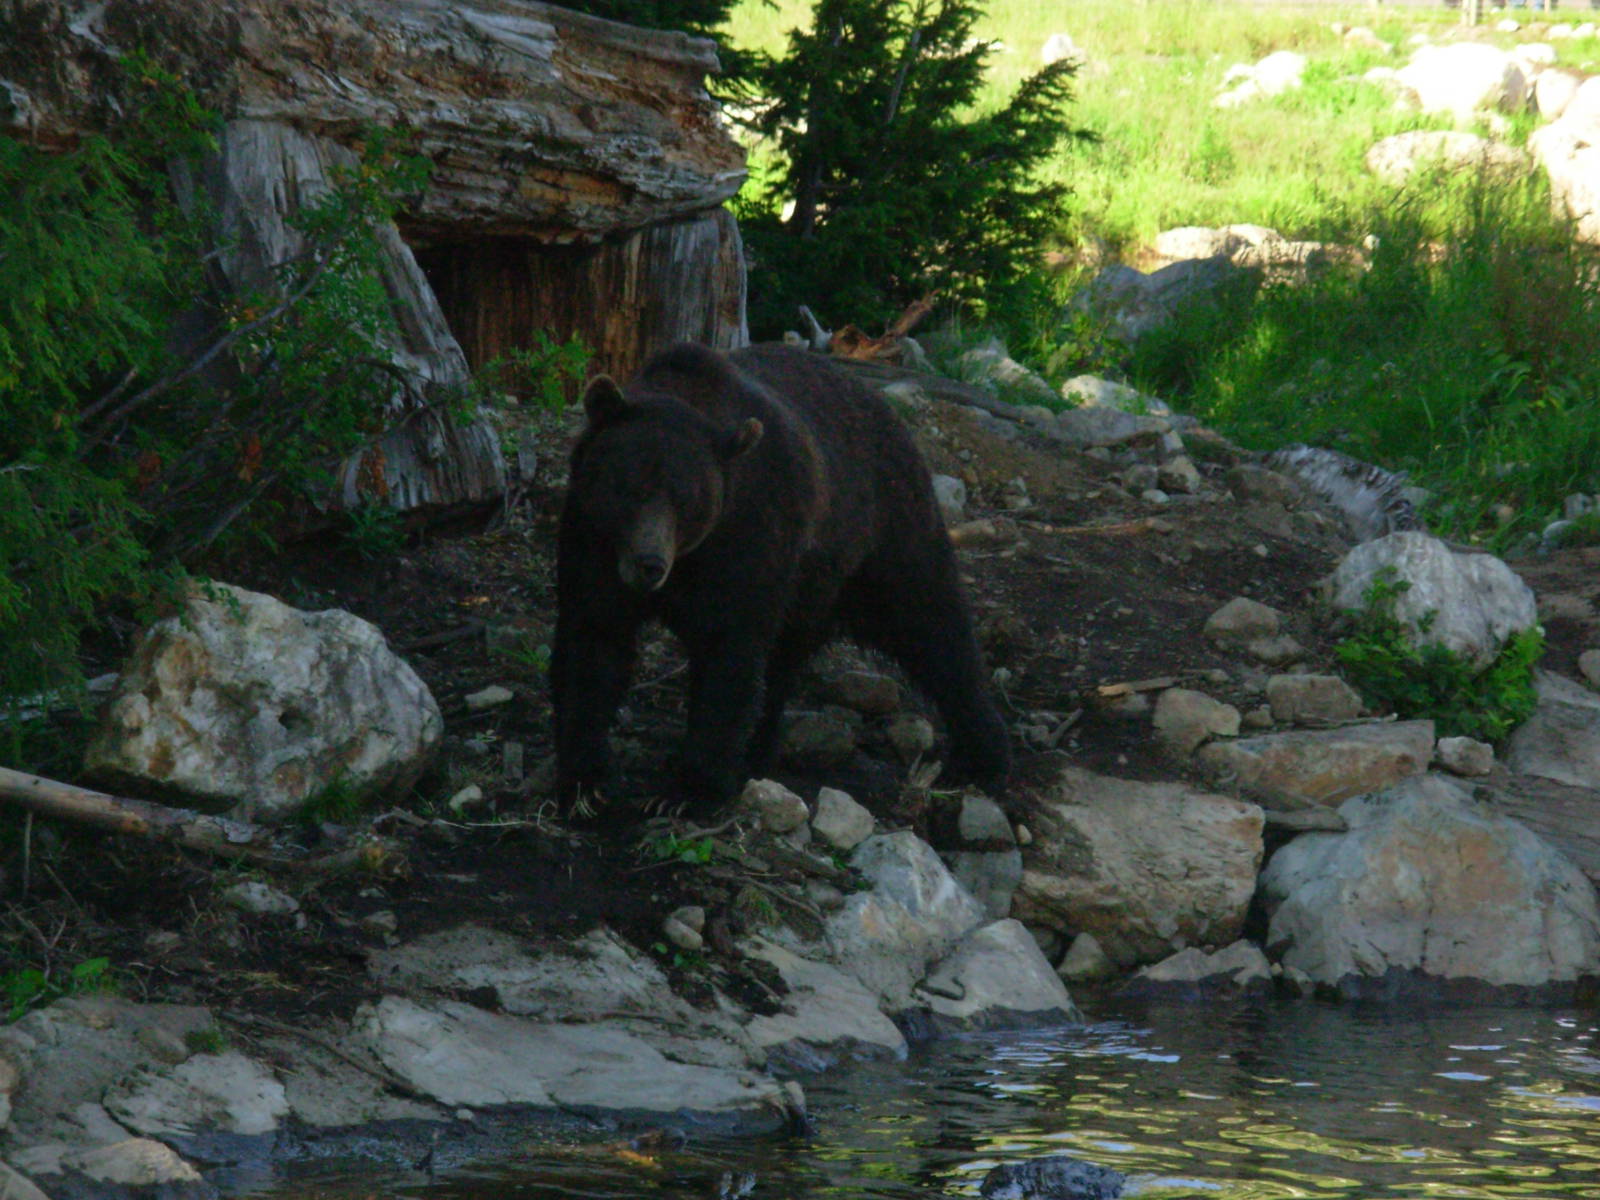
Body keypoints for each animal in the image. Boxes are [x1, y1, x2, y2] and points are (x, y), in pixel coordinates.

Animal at [551, 341, 1010, 816]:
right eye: (629, 486)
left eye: (687, 501)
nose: (649, 564)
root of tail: (890, 412)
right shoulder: (592, 542)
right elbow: (594, 645)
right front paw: (587, 784)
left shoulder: (750, 540)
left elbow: (729, 656)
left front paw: (688, 791)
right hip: (810, 588)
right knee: (784, 662)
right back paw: (756, 752)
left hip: (882, 531)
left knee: (932, 623)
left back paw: (983, 752)